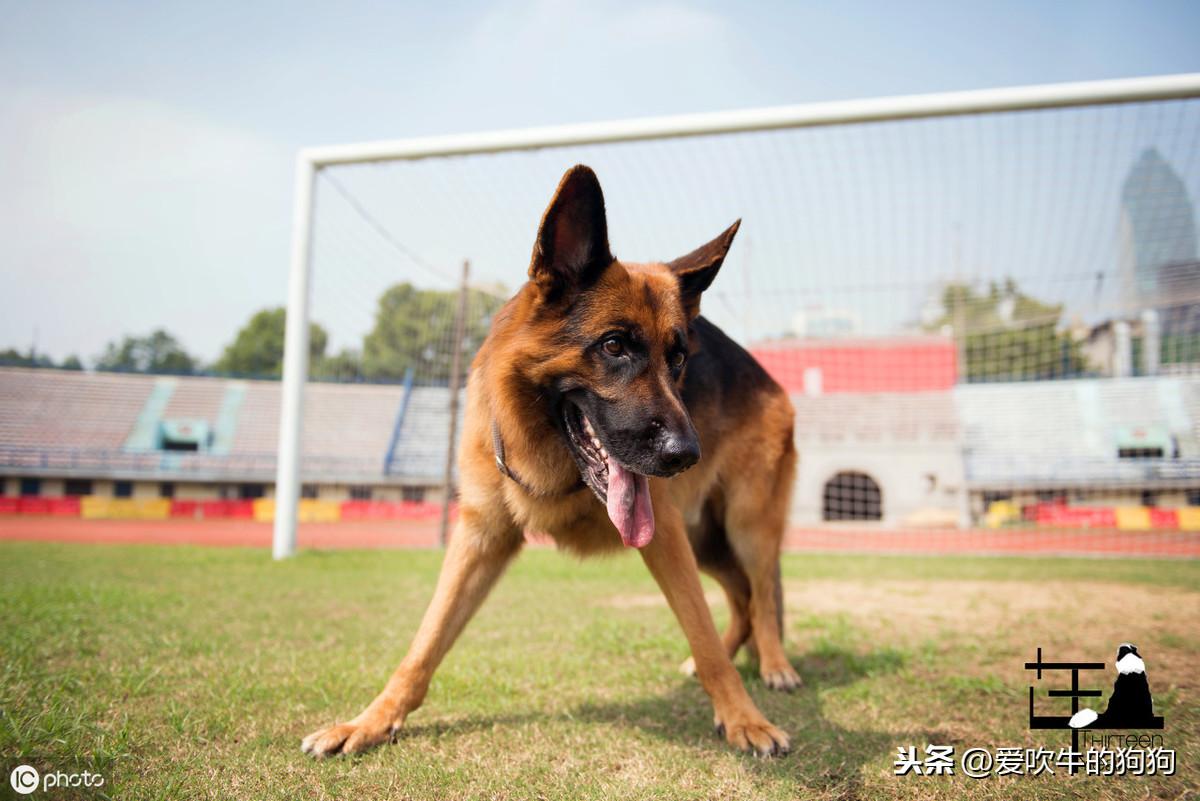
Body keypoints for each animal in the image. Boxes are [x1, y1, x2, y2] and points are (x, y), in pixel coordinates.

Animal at [300, 167, 796, 757]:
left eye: (678, 358)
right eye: (614, 346)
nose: (685, 455)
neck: (554, 465)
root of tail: (767, 375)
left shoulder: (666, 537)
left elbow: (701, 631)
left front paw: (744, 718)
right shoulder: (480, 539)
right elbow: (425, 642)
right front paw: (372, 720)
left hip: (745, 526)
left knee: (762, 591)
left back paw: (775, 664)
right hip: (707, 541)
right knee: (742, 595)